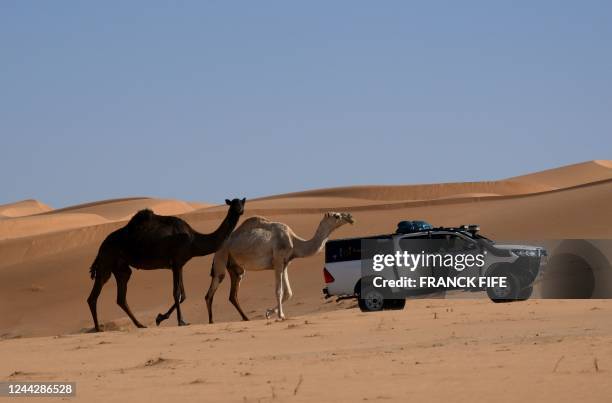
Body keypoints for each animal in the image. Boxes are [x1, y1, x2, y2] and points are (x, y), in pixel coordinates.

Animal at [87, 197, 245, 332]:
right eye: (233, 204)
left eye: (241, 203)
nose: (240, 210)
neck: (193, 240)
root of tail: (101, 246)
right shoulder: (175, 263)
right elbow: (177, 293)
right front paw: (179, 321)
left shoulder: (180, 264)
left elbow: (183, 295)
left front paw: (161, 318)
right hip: (106, 262)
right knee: (94, 296)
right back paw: (98, 328)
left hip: (121, 268)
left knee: (121, 297)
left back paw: (140, 324)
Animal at [206, 213, 354, 324]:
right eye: (336, 215)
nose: (350, 217)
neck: (294, 242)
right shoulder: (277, 261)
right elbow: (279, 291)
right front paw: (280, 315)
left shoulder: (285, 263)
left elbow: (289, 292)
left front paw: (269, 313)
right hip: (221, 257)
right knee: (212, 289)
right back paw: (211, 321)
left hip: (236, 267)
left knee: (233, 294)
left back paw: (245, 318)